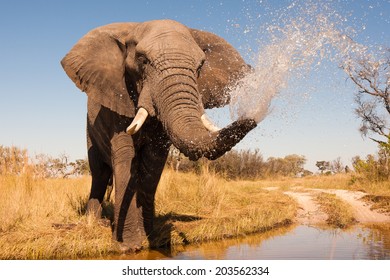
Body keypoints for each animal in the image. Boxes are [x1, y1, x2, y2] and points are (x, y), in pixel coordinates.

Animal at [60, 19, 256, 252]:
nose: (252, 119)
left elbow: (153, 163)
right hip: (90, 130)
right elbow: (125, 157)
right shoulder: (118, 99)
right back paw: (94, 222)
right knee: (99, 172)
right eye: (142, 60)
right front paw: (128, 246)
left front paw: (150, 237)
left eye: (200, 66)